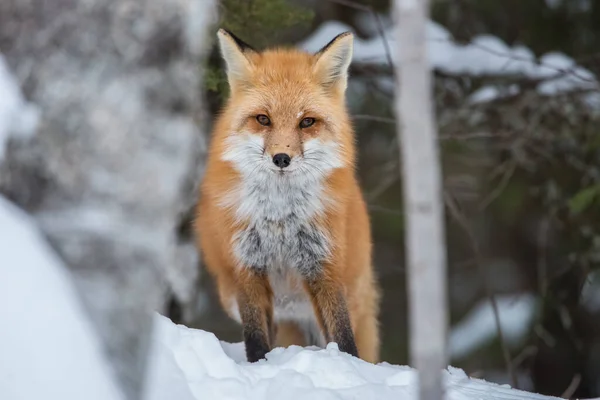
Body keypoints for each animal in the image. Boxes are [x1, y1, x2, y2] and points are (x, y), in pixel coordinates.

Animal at [195, 29, 380, 364]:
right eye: (263, 119)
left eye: (306, 122)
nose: (281, 158)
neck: (280, 218)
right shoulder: (247, 269)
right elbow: (256, 338)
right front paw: (260, 366)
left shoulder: (324, 265)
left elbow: (343, 334)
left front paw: (350, 366)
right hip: (234, 296)